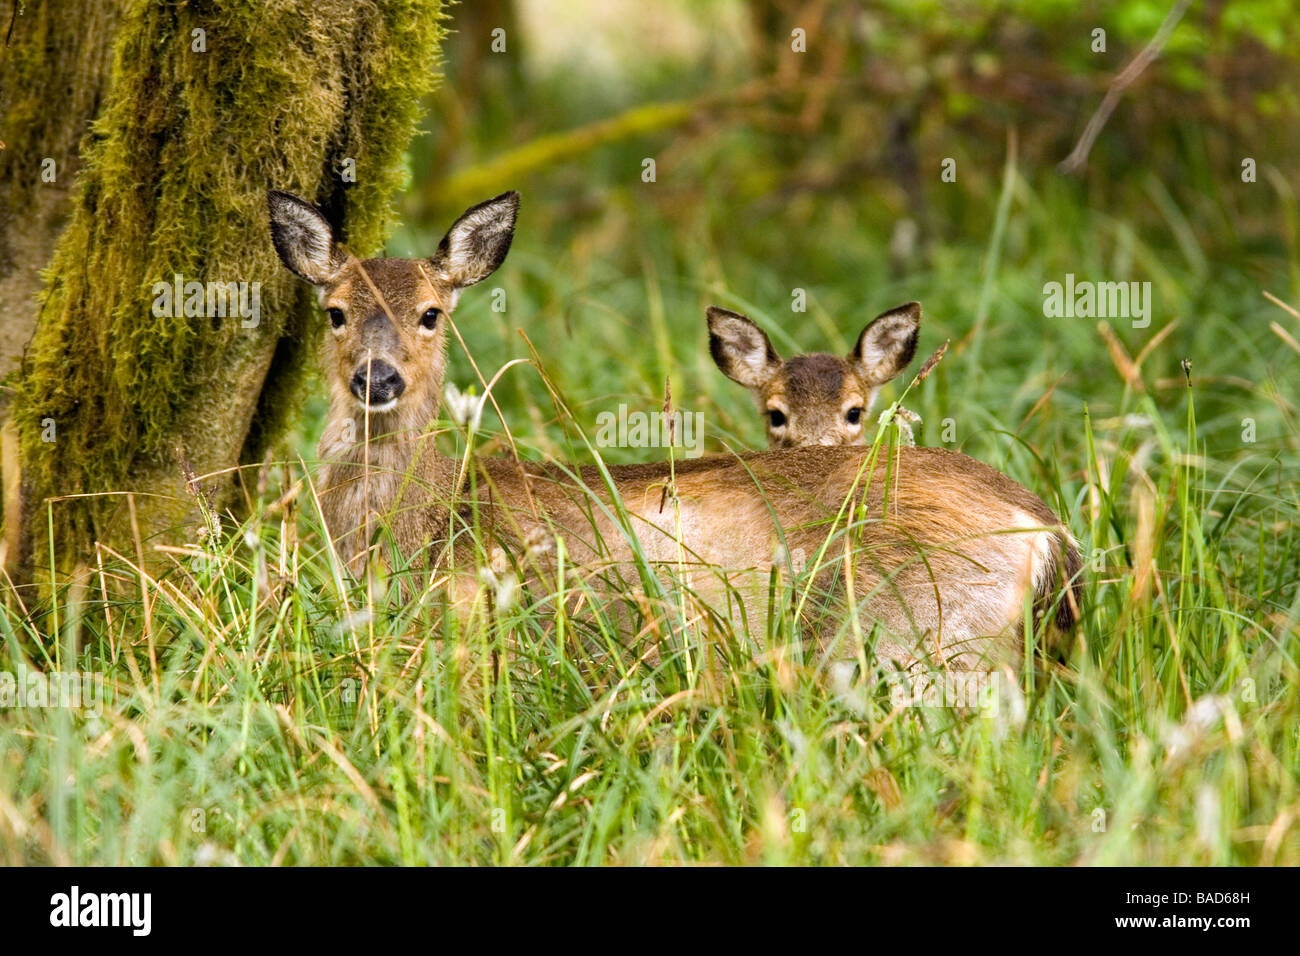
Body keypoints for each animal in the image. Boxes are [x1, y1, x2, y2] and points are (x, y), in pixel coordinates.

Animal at [263, 191, 1076, 671]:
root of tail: (1047, 530)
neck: (422, 521)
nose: (377, 380)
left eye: (432, 313)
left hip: (920, 638)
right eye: (334, 312)